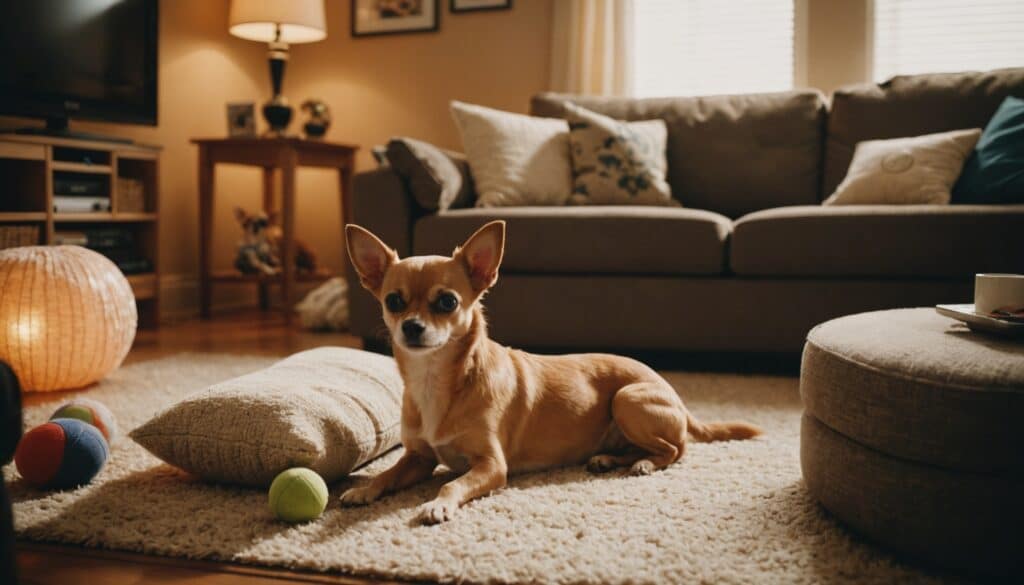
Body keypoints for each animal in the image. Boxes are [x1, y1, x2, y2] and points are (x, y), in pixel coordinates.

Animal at [342, 222, 761, 524]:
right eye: (393, 301)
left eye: (447, 302)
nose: (411, 327)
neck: (436, 379)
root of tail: (672, 390)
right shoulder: (419, 458)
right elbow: (388, 473)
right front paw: (365, 490)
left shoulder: (492, 466)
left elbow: (452, 485)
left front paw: (436, 504)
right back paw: (609, 459)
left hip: (628, 399)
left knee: (677, 449)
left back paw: (643, 464)